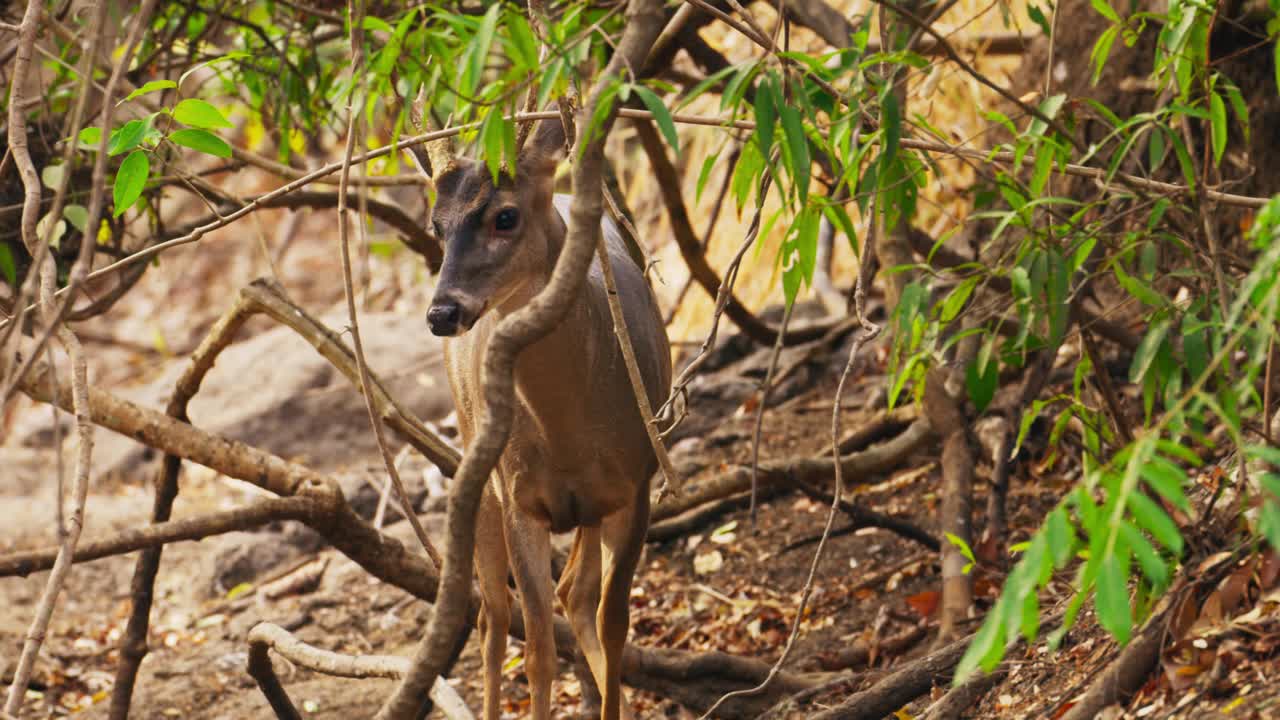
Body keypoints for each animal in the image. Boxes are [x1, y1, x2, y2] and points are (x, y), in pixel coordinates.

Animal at [422, 117, 680, 717]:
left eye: (505, 216)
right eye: (436, 226)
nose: (442, 312)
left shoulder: (636, 486)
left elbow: (615, 625)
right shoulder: (520, 497)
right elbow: (538, 649)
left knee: (575, 594)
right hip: (479, 471)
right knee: (493, 617)